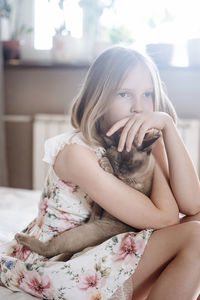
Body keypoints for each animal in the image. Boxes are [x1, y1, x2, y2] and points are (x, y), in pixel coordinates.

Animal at [14, 129, 160, 260]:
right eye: (117, 162)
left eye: (131, 164)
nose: (122, 171)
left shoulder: (132, 188)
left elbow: (113, 176)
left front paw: (106, 165)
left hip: (82, 234)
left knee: (49, 250)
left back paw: (19, 237)